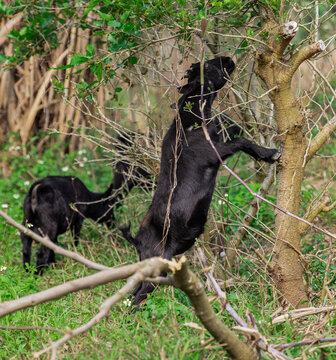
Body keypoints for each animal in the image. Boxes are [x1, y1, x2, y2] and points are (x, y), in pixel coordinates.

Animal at [121, 56, 280, 310]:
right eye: (208, 66)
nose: (228, 59)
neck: (192, 116)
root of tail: (136, 240)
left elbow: (233, 126)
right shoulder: (216, 152)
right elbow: (243, 140)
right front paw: (269, 153)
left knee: (134, 293)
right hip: (160, 265)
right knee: (139, 297)